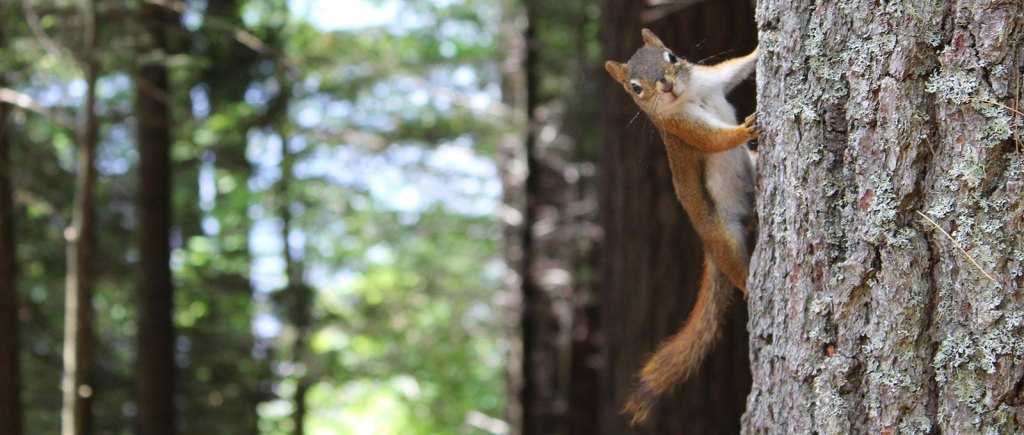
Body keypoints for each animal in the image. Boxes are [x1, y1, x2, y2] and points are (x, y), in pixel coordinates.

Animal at [605, 28, 758, 425]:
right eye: (635, 88)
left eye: (671, 57)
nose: (667, 86)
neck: (690, 95)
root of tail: (707, 245)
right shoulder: (681, 129)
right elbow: (714, 139)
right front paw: (744, 129)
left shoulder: (712, 79)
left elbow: (736, 68)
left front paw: (760, 48)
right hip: (723, 235)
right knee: (736, 269)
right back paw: (749, 284)